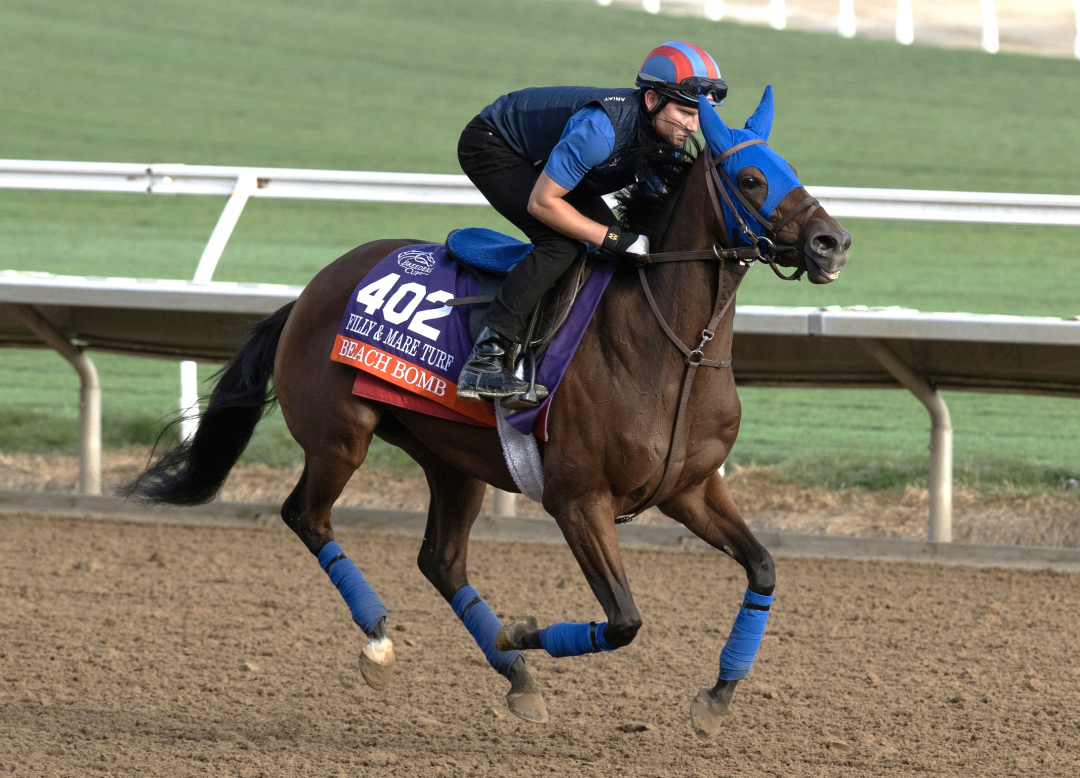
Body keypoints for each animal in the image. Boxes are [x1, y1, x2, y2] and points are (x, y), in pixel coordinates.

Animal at [126, 88, 846, 739]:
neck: (674, 351)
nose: (831, 242)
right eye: (750, 178)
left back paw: (516, 677)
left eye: (789, 166)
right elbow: (624, 620)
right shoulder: (577, 500)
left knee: (441, 561)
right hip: (340, 437)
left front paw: (718, 694)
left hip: (454, 460)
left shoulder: (688, 489)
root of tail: (309, 292)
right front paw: (521, 632)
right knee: (307, 516)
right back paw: (381, 643)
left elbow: (763, 567)